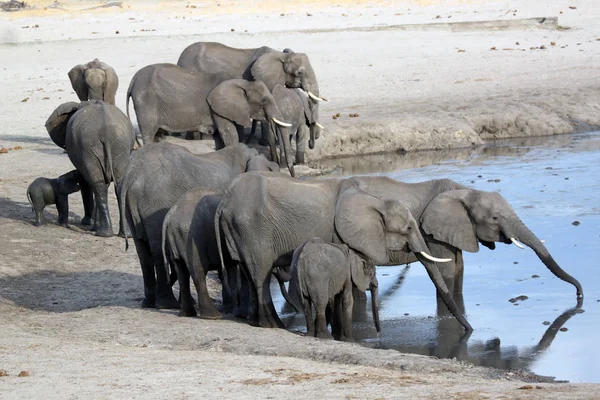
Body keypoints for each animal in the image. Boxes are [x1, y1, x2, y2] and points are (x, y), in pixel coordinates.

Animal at [45, 101, 137, 238]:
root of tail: (105, 130)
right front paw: (93, 225)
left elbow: (85, 182)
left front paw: (88, 223)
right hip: (118, 146)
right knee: (116, 185)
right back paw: (123, 234)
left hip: (90, 147)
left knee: (97, 184)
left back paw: (103, 233)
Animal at [121, 142, 282, 310]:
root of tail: (132, 174)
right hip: (154, 203)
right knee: (158, 249)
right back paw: (167, 304)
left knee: (143, 251)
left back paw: (149, 303)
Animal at [126, 63, 296, 177]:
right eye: (264, 101)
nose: (292, 175)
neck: (242, 83)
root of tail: (133, 80)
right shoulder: (216, 109)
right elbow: (230, 134)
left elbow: (222, 137)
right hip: (146, 103)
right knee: (148, 133)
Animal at [216, 173, 474, 332]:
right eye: (409, 228)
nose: (470, 330)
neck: (374, 201)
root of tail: (224, 201)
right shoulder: (340, 235)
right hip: (252, 229)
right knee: (260, 274)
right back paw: (273, 326)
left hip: (239, 231)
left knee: (249, 272)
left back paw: (263, 323)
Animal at [350, 176, 584, 306]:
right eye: (495, 218)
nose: (579, 295)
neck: (465, 191)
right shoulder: (432, 231)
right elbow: (447, 270)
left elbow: (459, 267)